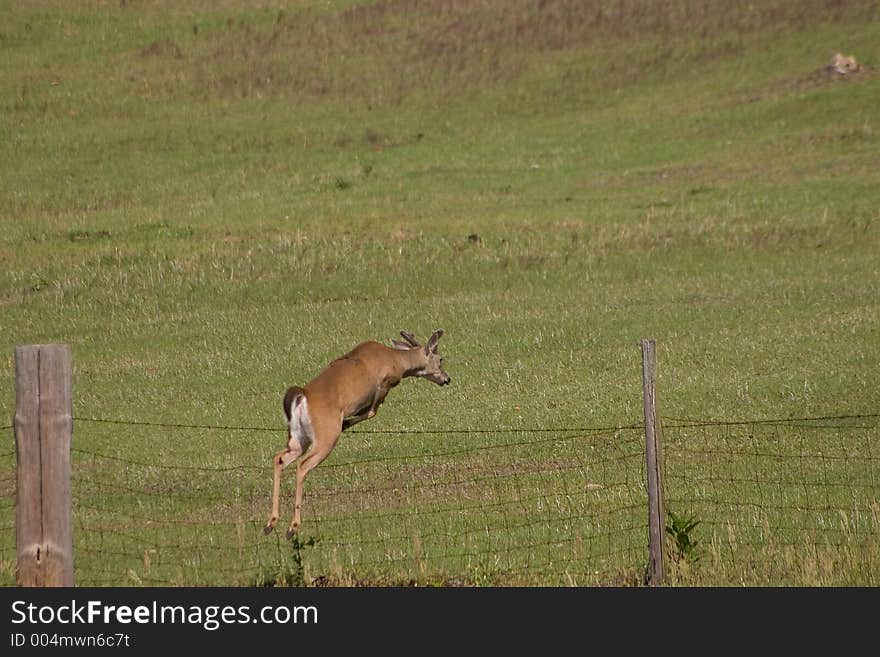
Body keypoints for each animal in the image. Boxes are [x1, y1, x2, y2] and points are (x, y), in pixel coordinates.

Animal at [264, 328, 450, 540]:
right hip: (326, 436)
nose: (447, 379)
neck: (397, 360)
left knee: (279, 458)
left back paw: (270, 523)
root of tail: (302, 396)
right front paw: (346, 422)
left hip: (297, 438)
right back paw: (292, 527)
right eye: (440, 359)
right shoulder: (384, 384)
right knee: (302, 466)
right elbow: (372, 411)